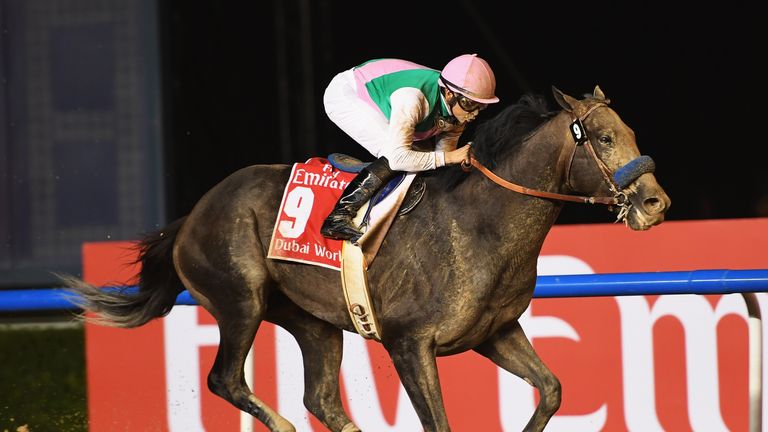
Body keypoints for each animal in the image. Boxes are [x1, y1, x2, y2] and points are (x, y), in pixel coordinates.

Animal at [69, 87, 668, 432]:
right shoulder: (409, 343)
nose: (655, 203)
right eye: (604, 137)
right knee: (225, 379)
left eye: (631, 132)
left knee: (320, 398)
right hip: (240, 300)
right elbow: (440, 424)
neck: (479, 224)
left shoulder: (496, 332)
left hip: (312, 323)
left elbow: (551, 390)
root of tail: (191, 216)